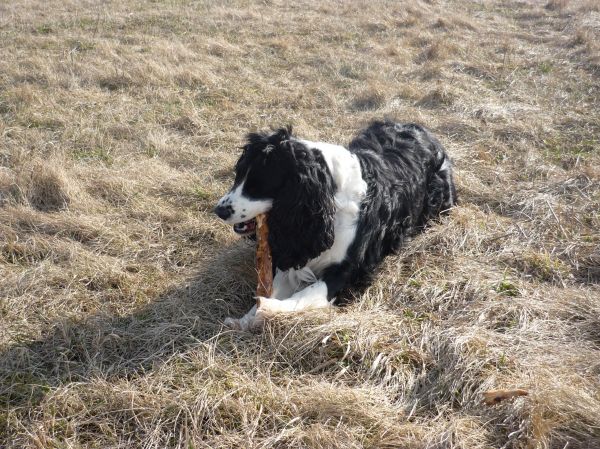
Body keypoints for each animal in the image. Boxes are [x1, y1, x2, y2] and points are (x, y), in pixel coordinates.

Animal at [214, 119, 454, 328]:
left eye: (259, 185)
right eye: (238, 175)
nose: (219, 211)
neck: (328, 193)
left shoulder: (347, 270)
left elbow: (307, 293)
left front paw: (269, 310)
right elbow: (278, 285)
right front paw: (245, 319)